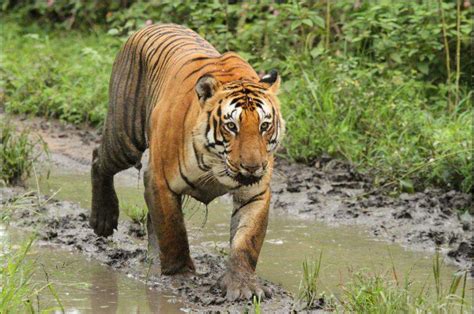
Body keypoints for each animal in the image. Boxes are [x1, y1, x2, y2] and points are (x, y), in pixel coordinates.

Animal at [89, 22, 284, 302]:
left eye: (264, 126)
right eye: (231, 126)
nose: (253, 167)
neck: (217, 165)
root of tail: (153, 25)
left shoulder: (255, 192)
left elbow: (247, 240)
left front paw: (243, 284)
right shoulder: (160, 180)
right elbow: (173, 230)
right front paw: (180, 276)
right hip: (125, 137)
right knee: (98, 158)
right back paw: (102, 219)